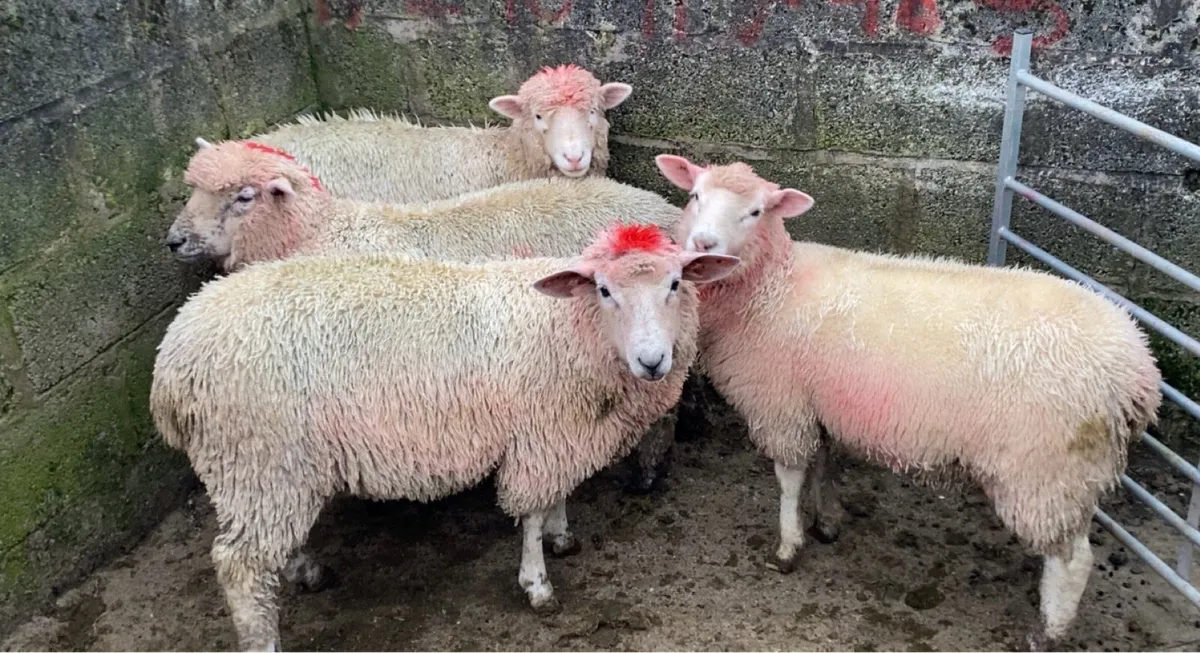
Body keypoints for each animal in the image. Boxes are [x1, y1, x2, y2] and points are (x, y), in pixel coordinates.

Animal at [151, 223, 738, 651]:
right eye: (605, 289)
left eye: (675, 284)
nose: (653, 361)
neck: (568, 327)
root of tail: (170, 363)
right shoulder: (537, 437)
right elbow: (530, 514)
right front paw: (538, 583)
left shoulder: (558, 435)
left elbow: (556, 497)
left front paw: (562, 535)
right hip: (257, 458)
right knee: (240, 568)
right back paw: (264, 638)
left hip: (272, 471)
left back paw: (306, 569)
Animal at [654, 154, 1162, 651]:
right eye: (695, 195)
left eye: (756, 211)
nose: (703, 243)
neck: (771, 288)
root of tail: (1140, 371)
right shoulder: (815, 406)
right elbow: (822, 466)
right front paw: (827, 523)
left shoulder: (780, 406)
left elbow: (790, 481)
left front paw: (788, 547)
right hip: (1065, 473)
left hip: (1047, 470)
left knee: (1072, 562)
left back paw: (1046, 633)